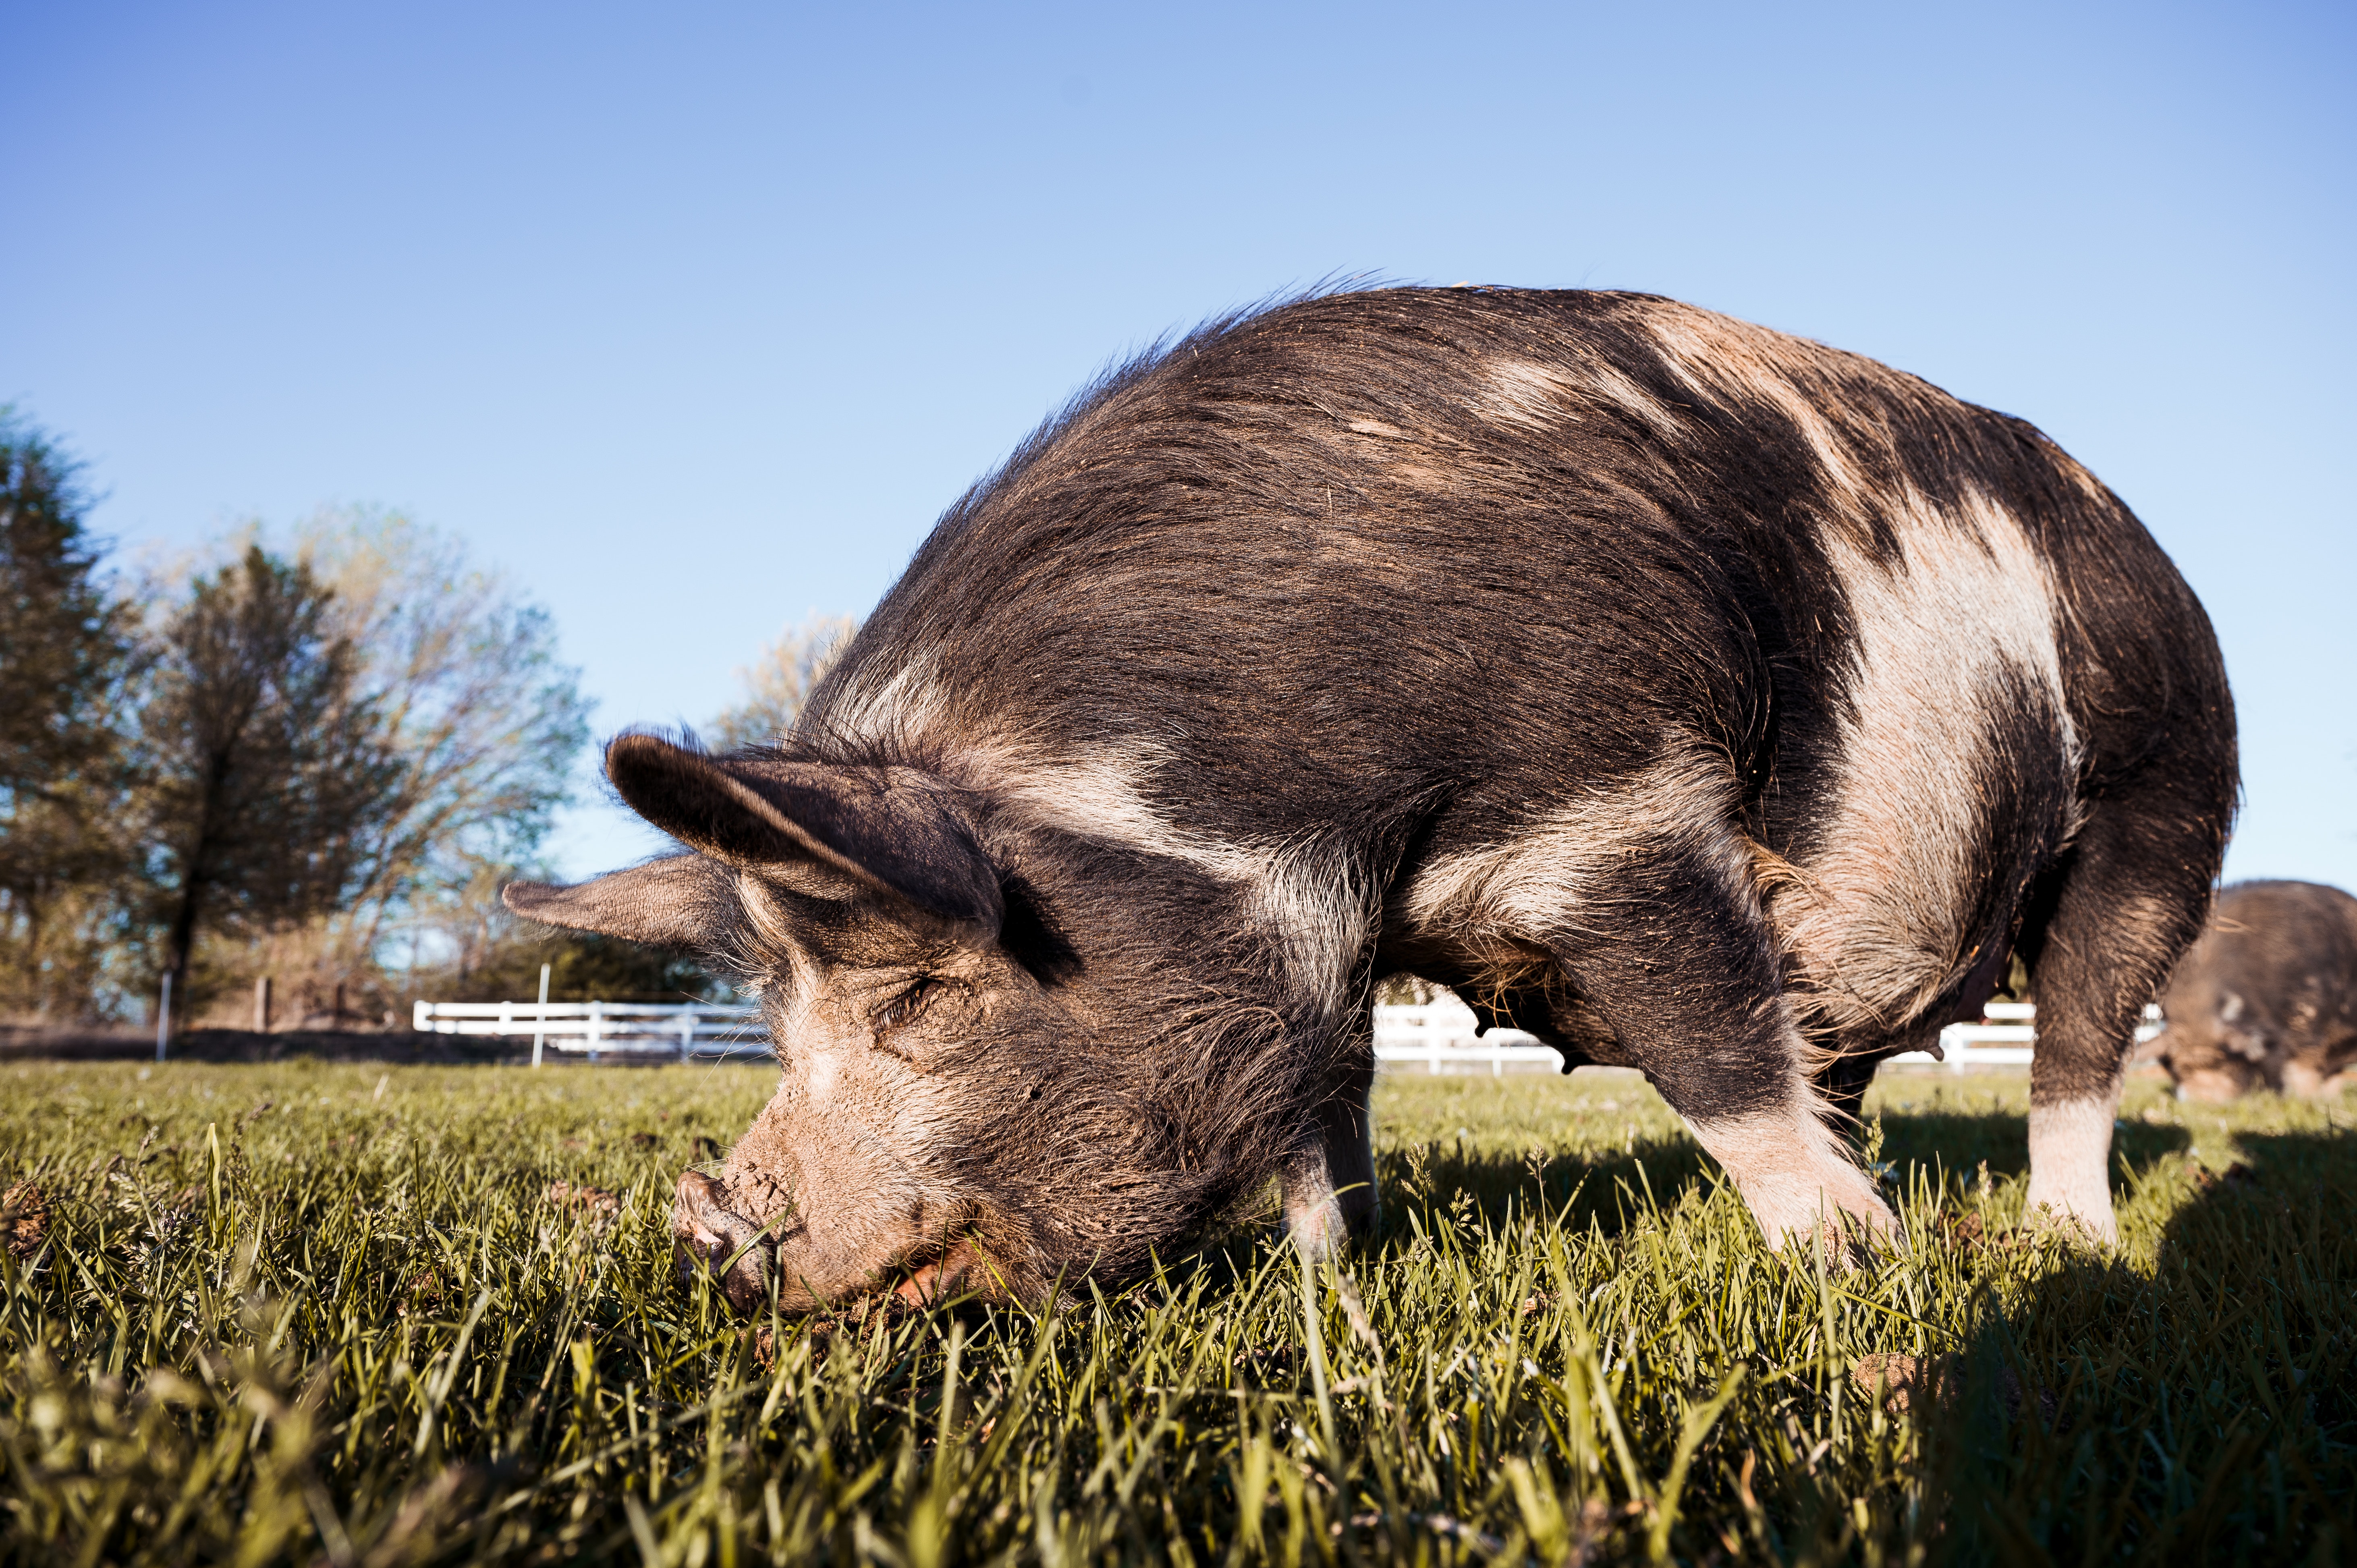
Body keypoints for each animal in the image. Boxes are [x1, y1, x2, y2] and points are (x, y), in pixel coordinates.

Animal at [506, 284, 2234, 1311]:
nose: (711, 1237)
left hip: (2165, 807)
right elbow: (1323, 1098)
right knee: (1853, 1056)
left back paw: (2064, 1246)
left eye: (922, 996)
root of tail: (2156, 555)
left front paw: (1848, 1274)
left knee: (2080, 1043)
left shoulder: (1608, 813)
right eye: (772, 1015)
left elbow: (1711, 1049)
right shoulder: (1319, 923)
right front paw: (1334, 1280)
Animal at [2159, 881, 2357, 1099]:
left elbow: (2303, 1066)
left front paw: (2305, 1099)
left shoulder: (2310, 1015)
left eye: (2226, 1064)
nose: (2203, 1100)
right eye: (2179, 1069)